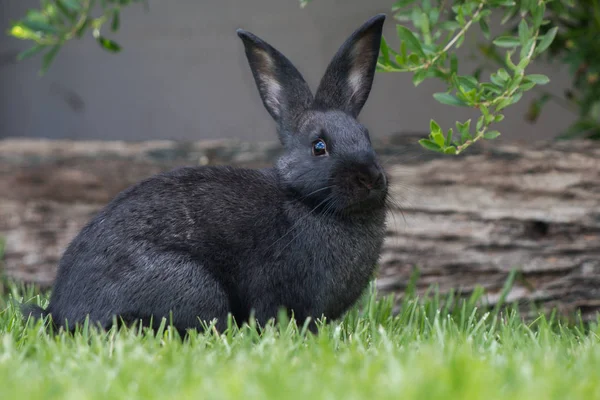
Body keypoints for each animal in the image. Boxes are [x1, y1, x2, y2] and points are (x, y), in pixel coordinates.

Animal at [24, 14, 390, 334]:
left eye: (366, 136)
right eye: (319, 147)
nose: (370, 179)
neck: (306, 201)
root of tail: (62, 313)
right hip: (196, 290)